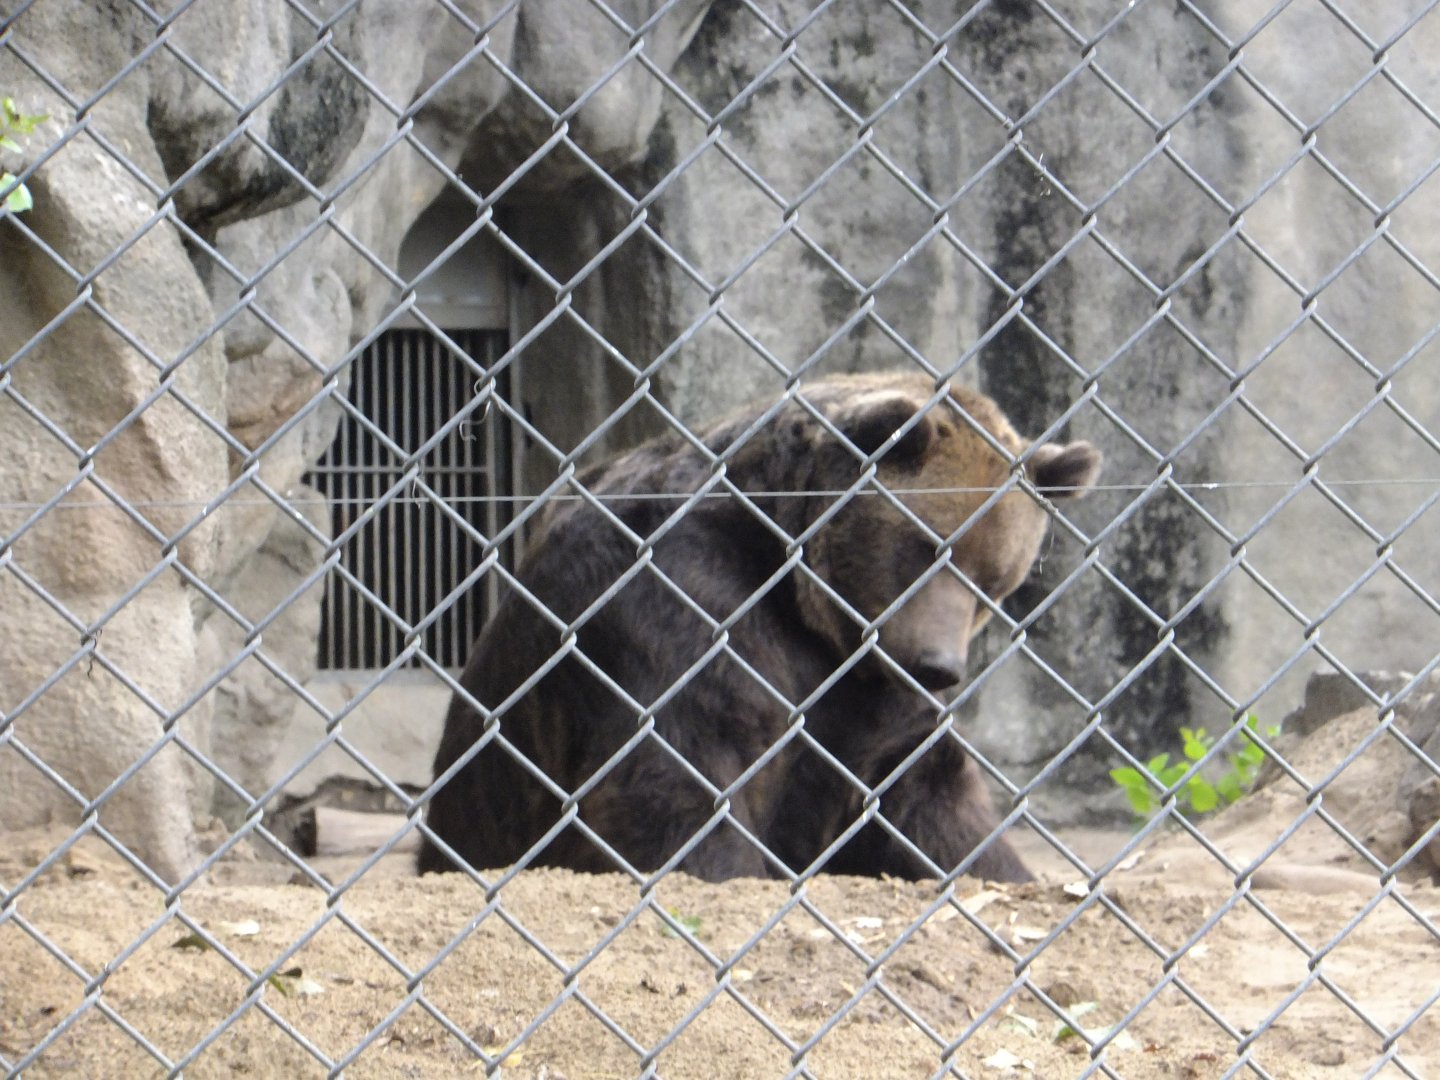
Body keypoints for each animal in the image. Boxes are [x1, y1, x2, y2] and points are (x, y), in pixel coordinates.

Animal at [417, 372, 1101, 883]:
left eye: (995, 581)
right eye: (929, 548)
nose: (939, 666)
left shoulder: (863, 684)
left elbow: (924, 792)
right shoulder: (677, 601)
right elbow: (678, 775)